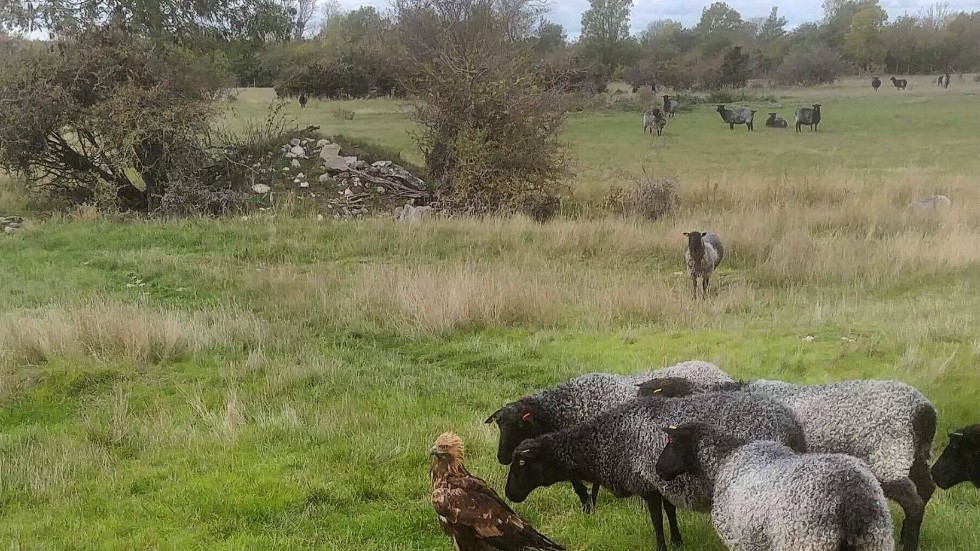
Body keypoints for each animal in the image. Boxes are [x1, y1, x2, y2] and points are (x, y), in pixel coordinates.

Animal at [486, 362, 732, 512]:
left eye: (518, 425)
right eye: (499, 425)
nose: (501, 457)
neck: (568, 407)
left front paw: (589, 504)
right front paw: (587, 505)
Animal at [506, 392, 804, 551]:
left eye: (521, 464)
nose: (509, 494)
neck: (606, 441)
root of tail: (792, 424)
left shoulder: (646, 484)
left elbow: (656, 519)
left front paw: (661, 545)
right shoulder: (661, 483)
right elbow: (670, 512)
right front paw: (678, 541)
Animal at [656, 424, 892, 551]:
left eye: (673, 443)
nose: (658, 468)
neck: (724, 459)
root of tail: (851, 497)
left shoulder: (739, 541)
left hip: (806, 541)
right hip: (876, 540)